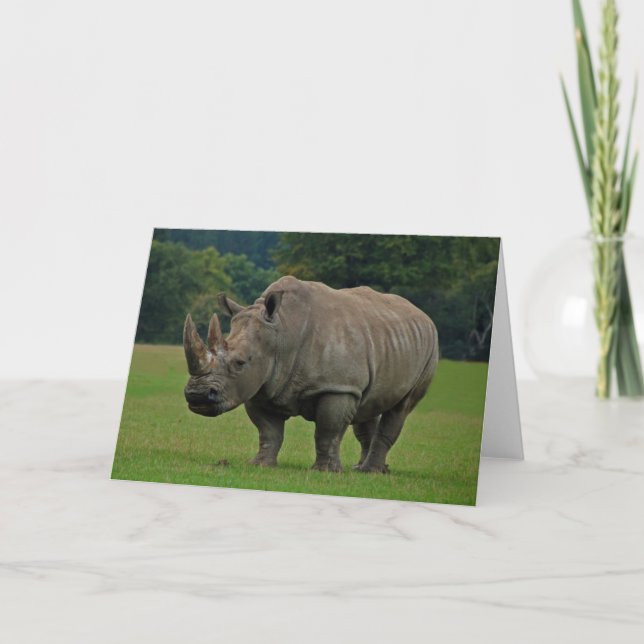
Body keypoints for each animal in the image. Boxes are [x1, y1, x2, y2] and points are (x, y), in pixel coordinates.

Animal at [183, 275, 438, 473]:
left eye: (240, 362)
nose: (197, 395)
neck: (282, 333)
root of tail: (423, 315)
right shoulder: (260, 385)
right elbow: (268, 431)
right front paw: (259, 465)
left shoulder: (337, 387)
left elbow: (327, 430)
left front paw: (325, 471)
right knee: (369, 404)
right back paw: (365, 469)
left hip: (430, 348)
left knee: (401, 407)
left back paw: (370, 471)